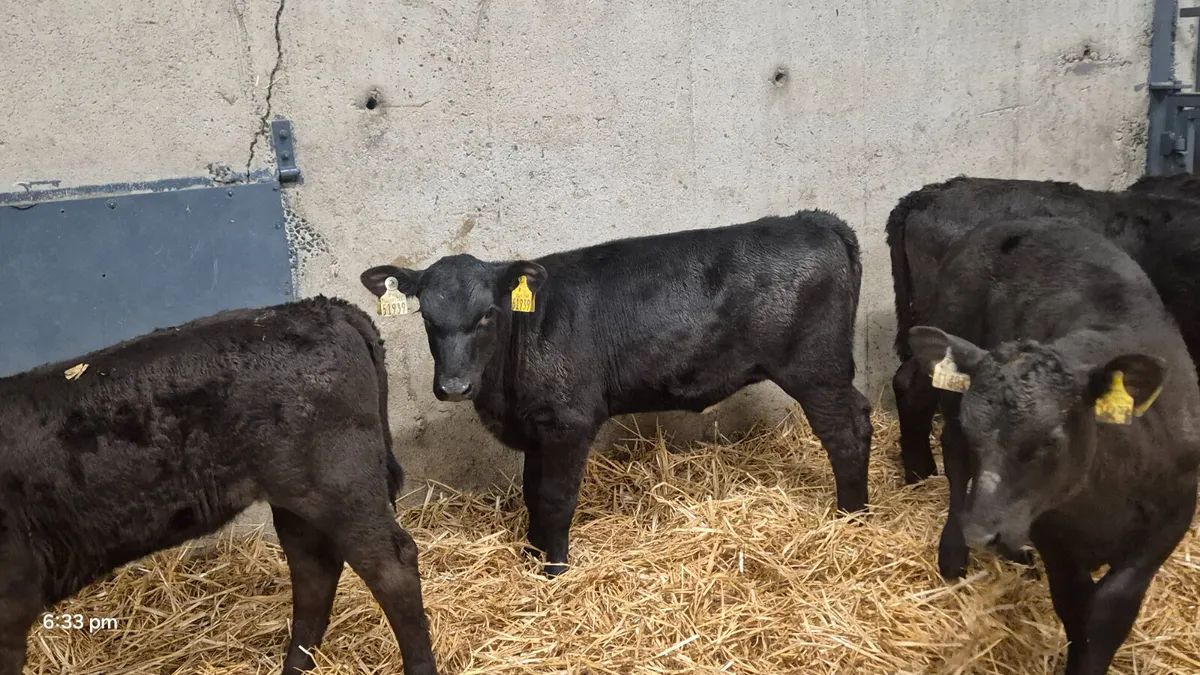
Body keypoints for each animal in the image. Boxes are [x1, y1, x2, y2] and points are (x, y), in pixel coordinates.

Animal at [361, 210, 873, 577]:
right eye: (427, 316)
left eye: (488, 312)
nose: (453, 386)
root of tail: (815, 220)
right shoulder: (536, 427)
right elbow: (531, 492)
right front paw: (530, 554)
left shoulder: (569, 422)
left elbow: (555, 497)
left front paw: (553, 570)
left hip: (816, 370)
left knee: (846, 430)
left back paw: (850, 516)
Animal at [908, 217, 1200, 674]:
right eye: (977, 430)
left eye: (1052, 439)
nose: (982, 532)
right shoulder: (1051, 530)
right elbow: (1073, 602)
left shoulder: (1171, 518)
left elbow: (1110, 609)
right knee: (953, 457)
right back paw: (954, 551)